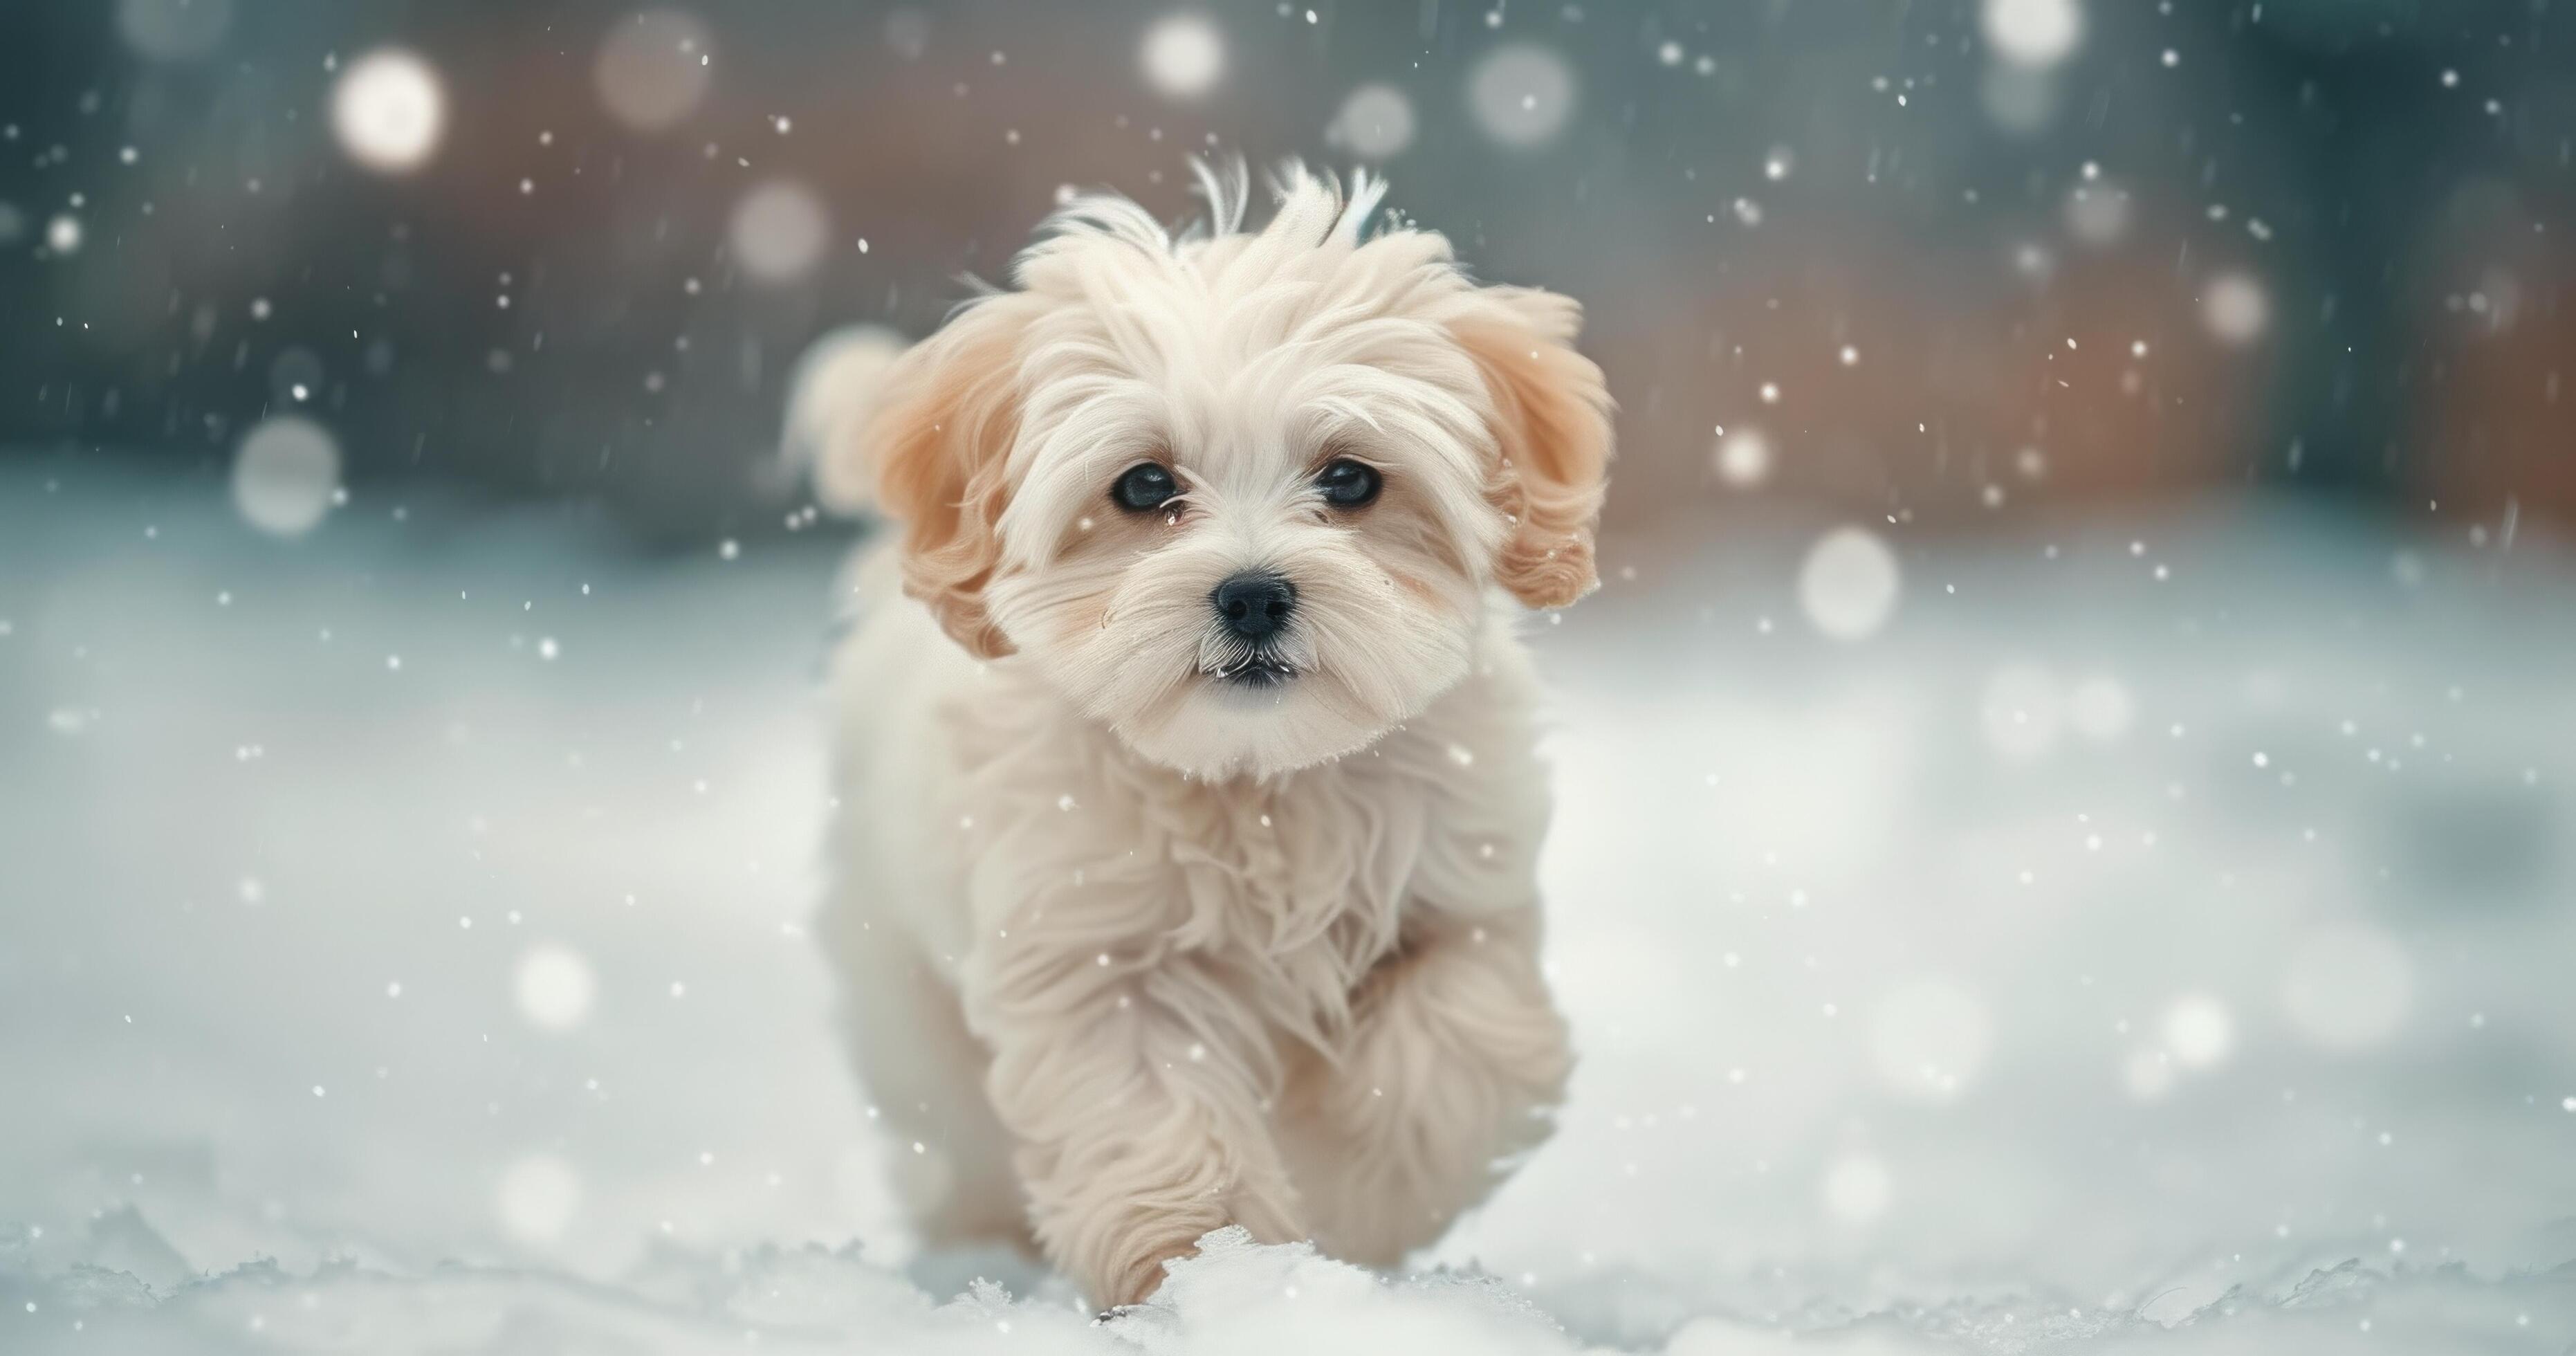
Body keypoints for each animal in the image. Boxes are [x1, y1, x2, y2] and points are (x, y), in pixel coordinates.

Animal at [803, 165, 1607, 1314]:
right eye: (1145, 486)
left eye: (1351, 479)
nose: (1255, 593)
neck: (1258, 780)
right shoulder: (1095, 955)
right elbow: (1152, 1116)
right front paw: (1207, 1271)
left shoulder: (1464, 900)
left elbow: (1455, 1054)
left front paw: (1351, 1211)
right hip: (908, 1002)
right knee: (957, 1138)